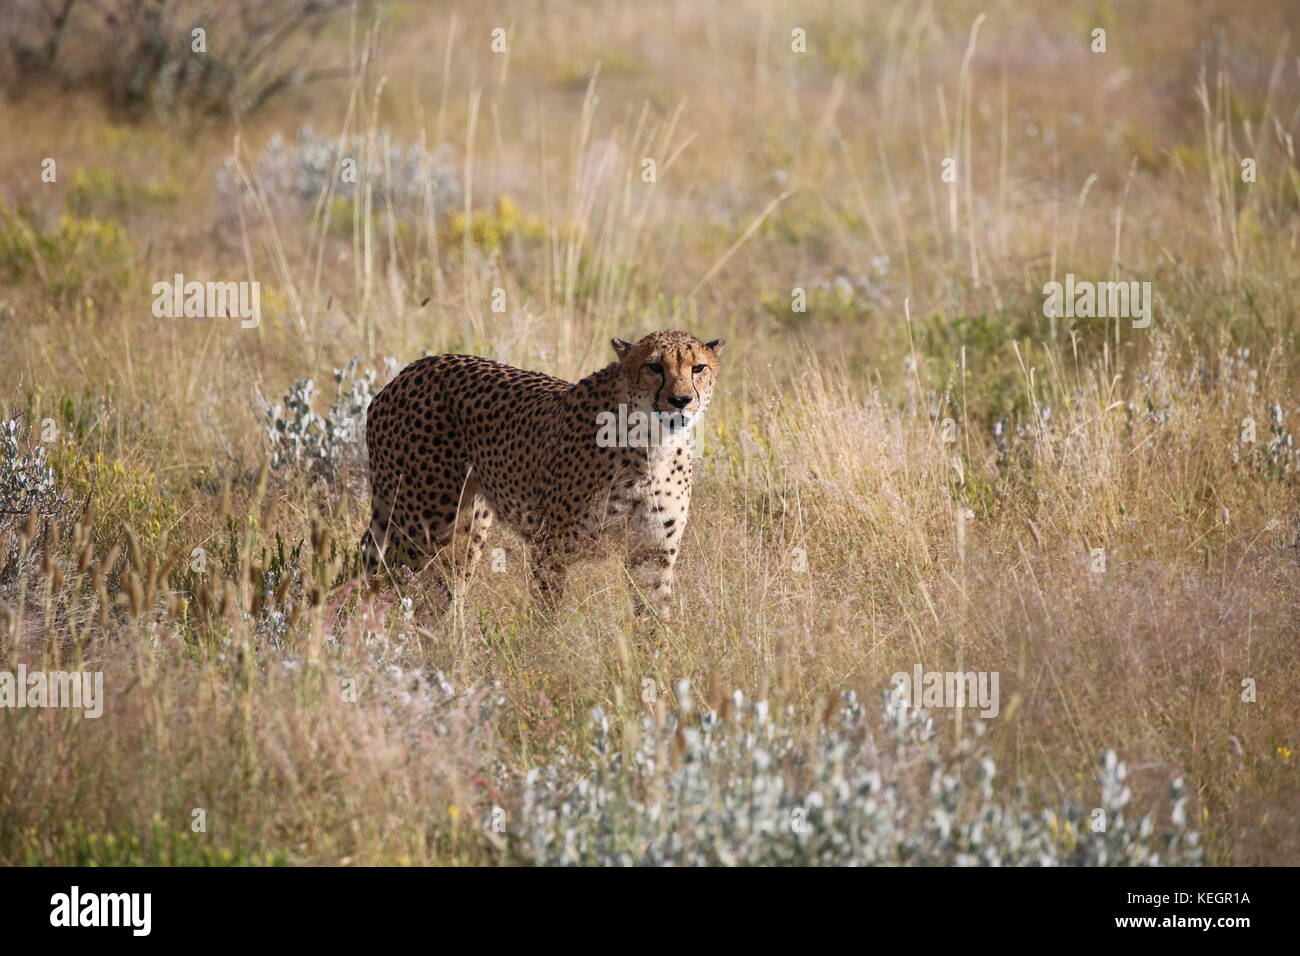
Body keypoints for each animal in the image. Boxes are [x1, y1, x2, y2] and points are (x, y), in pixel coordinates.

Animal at [358, 330, 722, 621]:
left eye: (698, 368)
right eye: (654, 367)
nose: (681, 400)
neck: (651, 445)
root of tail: (411, 370)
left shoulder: (653, 553)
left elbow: (654, 615)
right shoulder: (551, 547)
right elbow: (546, 613)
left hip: (467, 524)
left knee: (444, 586)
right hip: (423, 523)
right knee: (388, 572)